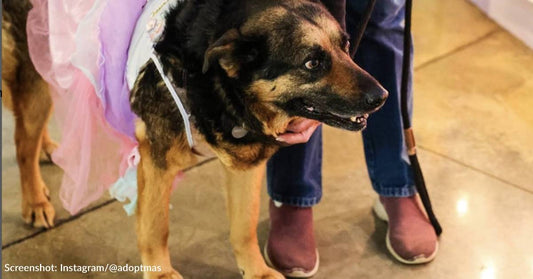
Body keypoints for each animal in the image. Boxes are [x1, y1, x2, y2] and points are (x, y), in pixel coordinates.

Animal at [4, 0, 388, 278]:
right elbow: (156, 227)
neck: (217, 84)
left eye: (346, 46)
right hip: (37, 70)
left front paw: (256, 270)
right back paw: (34, 199)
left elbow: (244, 227)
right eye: (311, 63)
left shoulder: (245, 165)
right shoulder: (157, 160)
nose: (383, 96)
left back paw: (49, 149)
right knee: (23, 142)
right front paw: (160, 274)